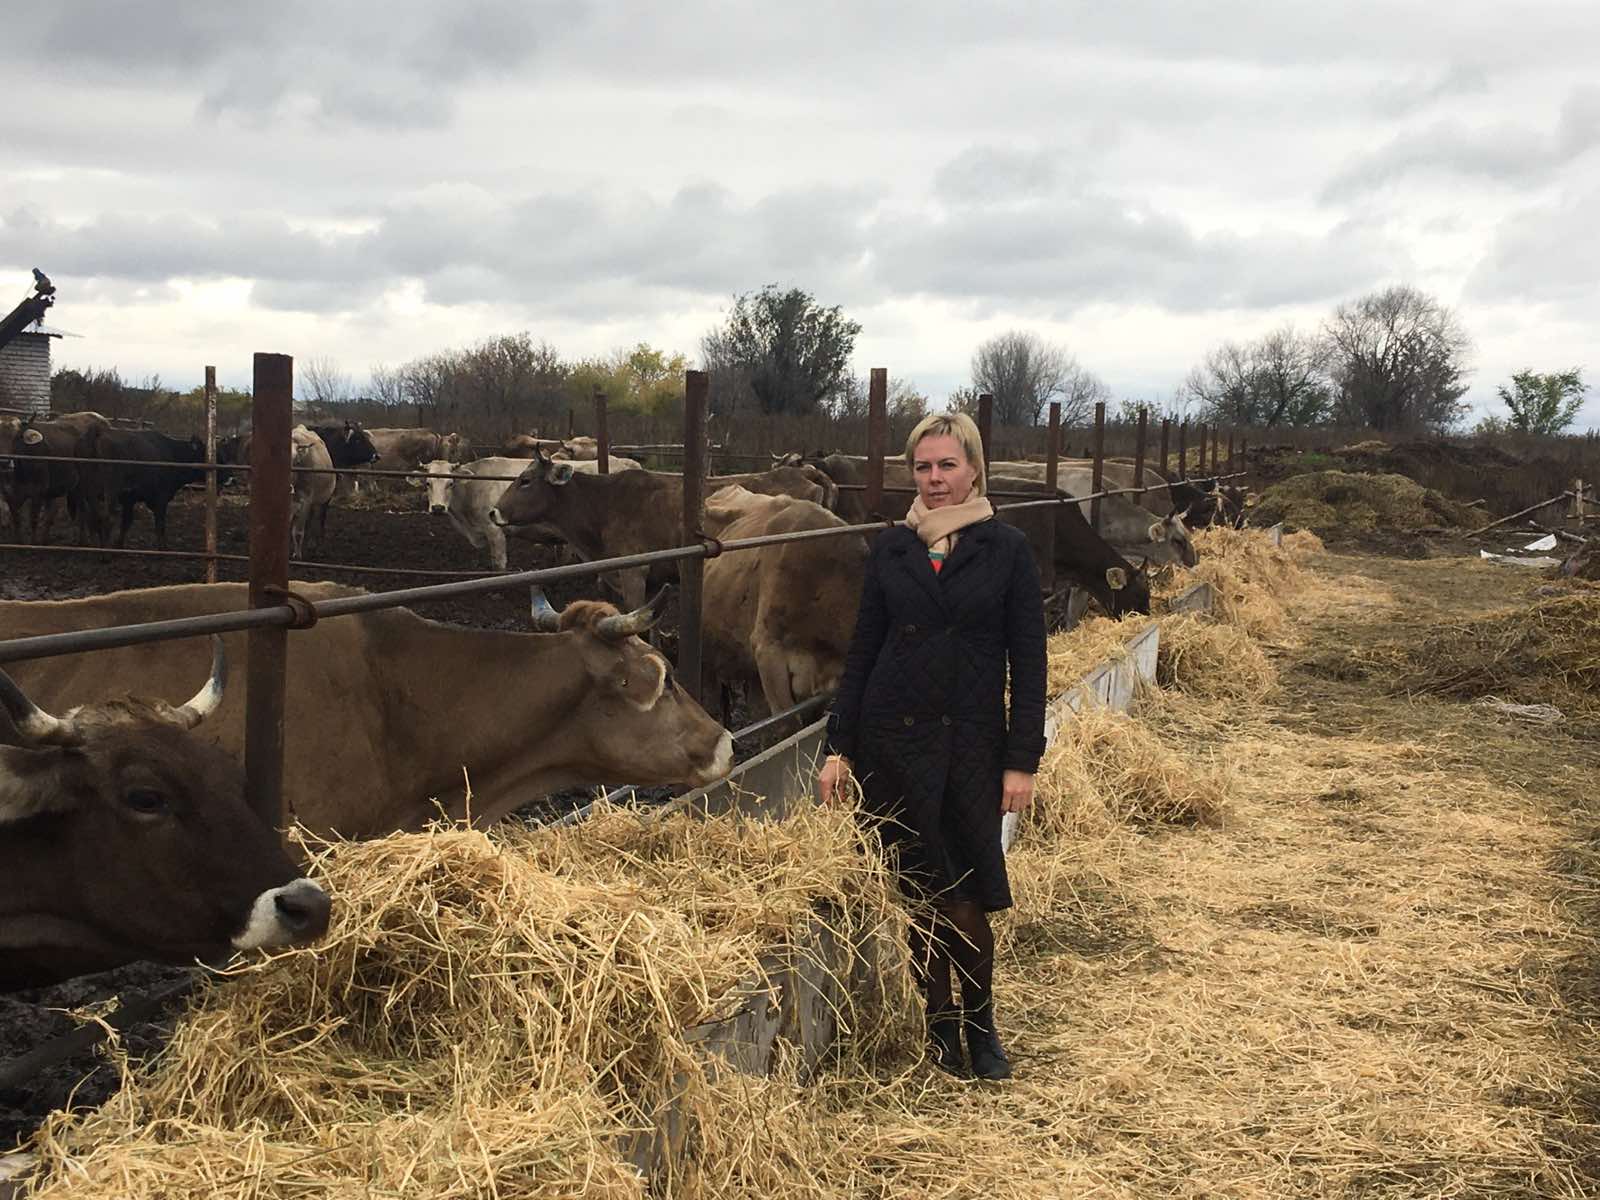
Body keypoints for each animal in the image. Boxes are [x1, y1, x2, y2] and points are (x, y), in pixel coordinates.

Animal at [76, 425, 208, 553]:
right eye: (205, 454)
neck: (173, 453)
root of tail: (98, 431)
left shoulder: (129, 500)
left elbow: (126, 522)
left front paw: (119, 545)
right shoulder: (161, 498)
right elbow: (160, 524)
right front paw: (163, 548)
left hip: (88, 491)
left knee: (91, 516)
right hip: (110, 491)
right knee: (107, 518)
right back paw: (104, 552)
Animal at [486, 454, 838, 614]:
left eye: (525, 480)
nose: (493, 512)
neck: (604, 505)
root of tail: (807, 472)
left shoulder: (634, 573)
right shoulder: (654, 579)